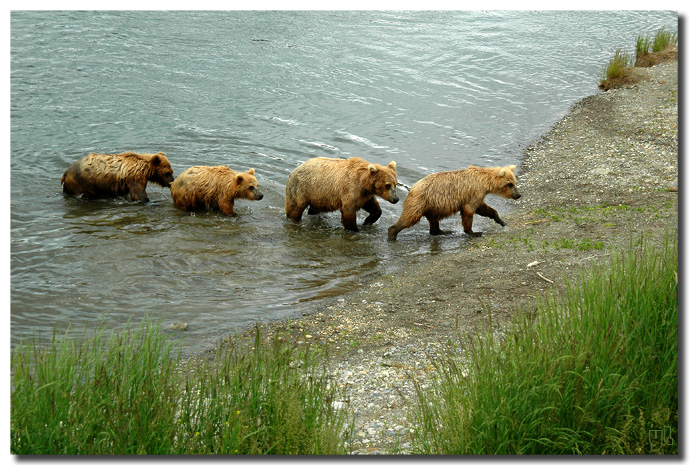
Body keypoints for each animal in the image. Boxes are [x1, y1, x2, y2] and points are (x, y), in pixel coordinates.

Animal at [388, 164, 520, 239]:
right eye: (510, 184)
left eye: (514, 182)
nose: (518, 195)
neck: (485, 182)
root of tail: (412, 188)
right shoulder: (474, 192)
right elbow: (469, 211)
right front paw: (474, 232)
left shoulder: (477, 195)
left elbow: (483, 208)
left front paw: (501, 221)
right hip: (420, 201)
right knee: (409, 217)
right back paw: (392, 233)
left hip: (432, 206)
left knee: (433, 220)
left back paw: (443, 231)